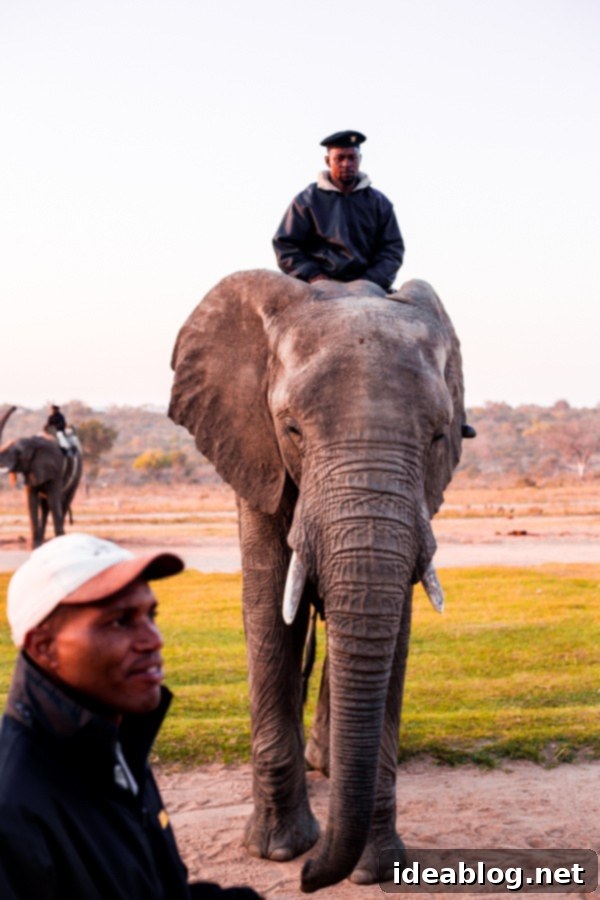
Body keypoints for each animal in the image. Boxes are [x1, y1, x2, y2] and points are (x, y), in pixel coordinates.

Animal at [0, 405, 83, 549]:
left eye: (19, 453)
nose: (15, 407)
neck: (32, 441)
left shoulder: (55, 468)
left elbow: (54, 502)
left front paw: (59, 542)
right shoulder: (31, 469)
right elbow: (31, 502)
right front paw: (34, 547)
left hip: (77, 475)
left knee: (64, 502)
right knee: (44, 506)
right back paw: (43, 541)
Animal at [169, 270, 467, 892]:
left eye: (438, 437)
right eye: (291, 429)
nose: (310, 878)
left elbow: (395, 631)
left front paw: (376, 869)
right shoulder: (255, 453)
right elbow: (267, 610)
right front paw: (277, 851)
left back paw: (327, 763)